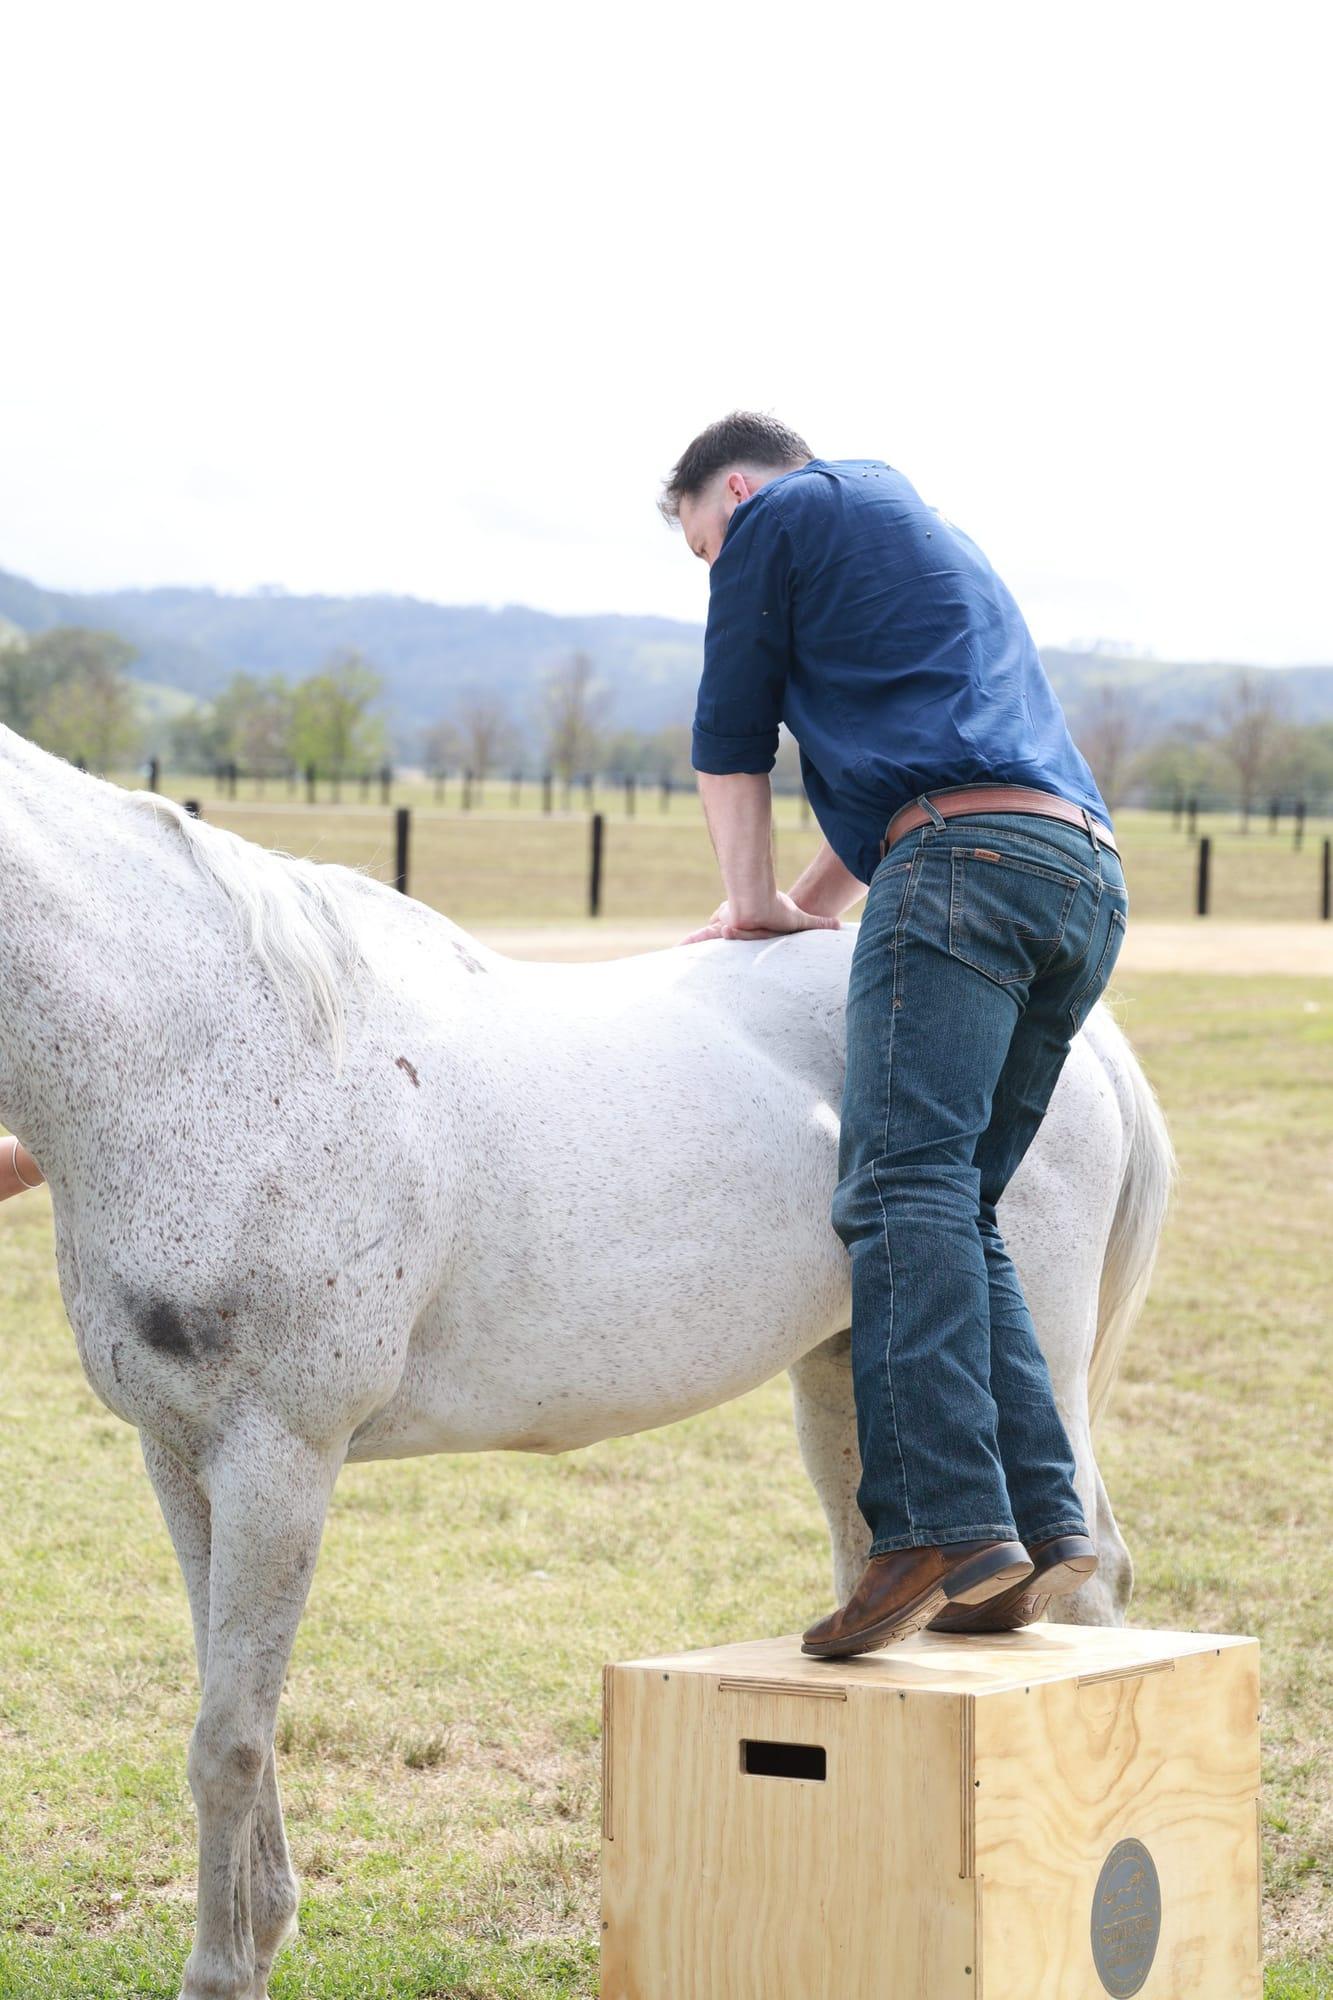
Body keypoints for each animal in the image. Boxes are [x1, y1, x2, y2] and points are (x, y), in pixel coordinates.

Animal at [0, 721, 1176, 2000]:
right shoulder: (183, 1455)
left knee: (1090, 1568)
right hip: (842, 1375)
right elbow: (231, 1700)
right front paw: (259, 1927)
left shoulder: (279, 1456)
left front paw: (221, 1972)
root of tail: (1093, 1047)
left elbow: (227, 1736)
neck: (209, 1049)